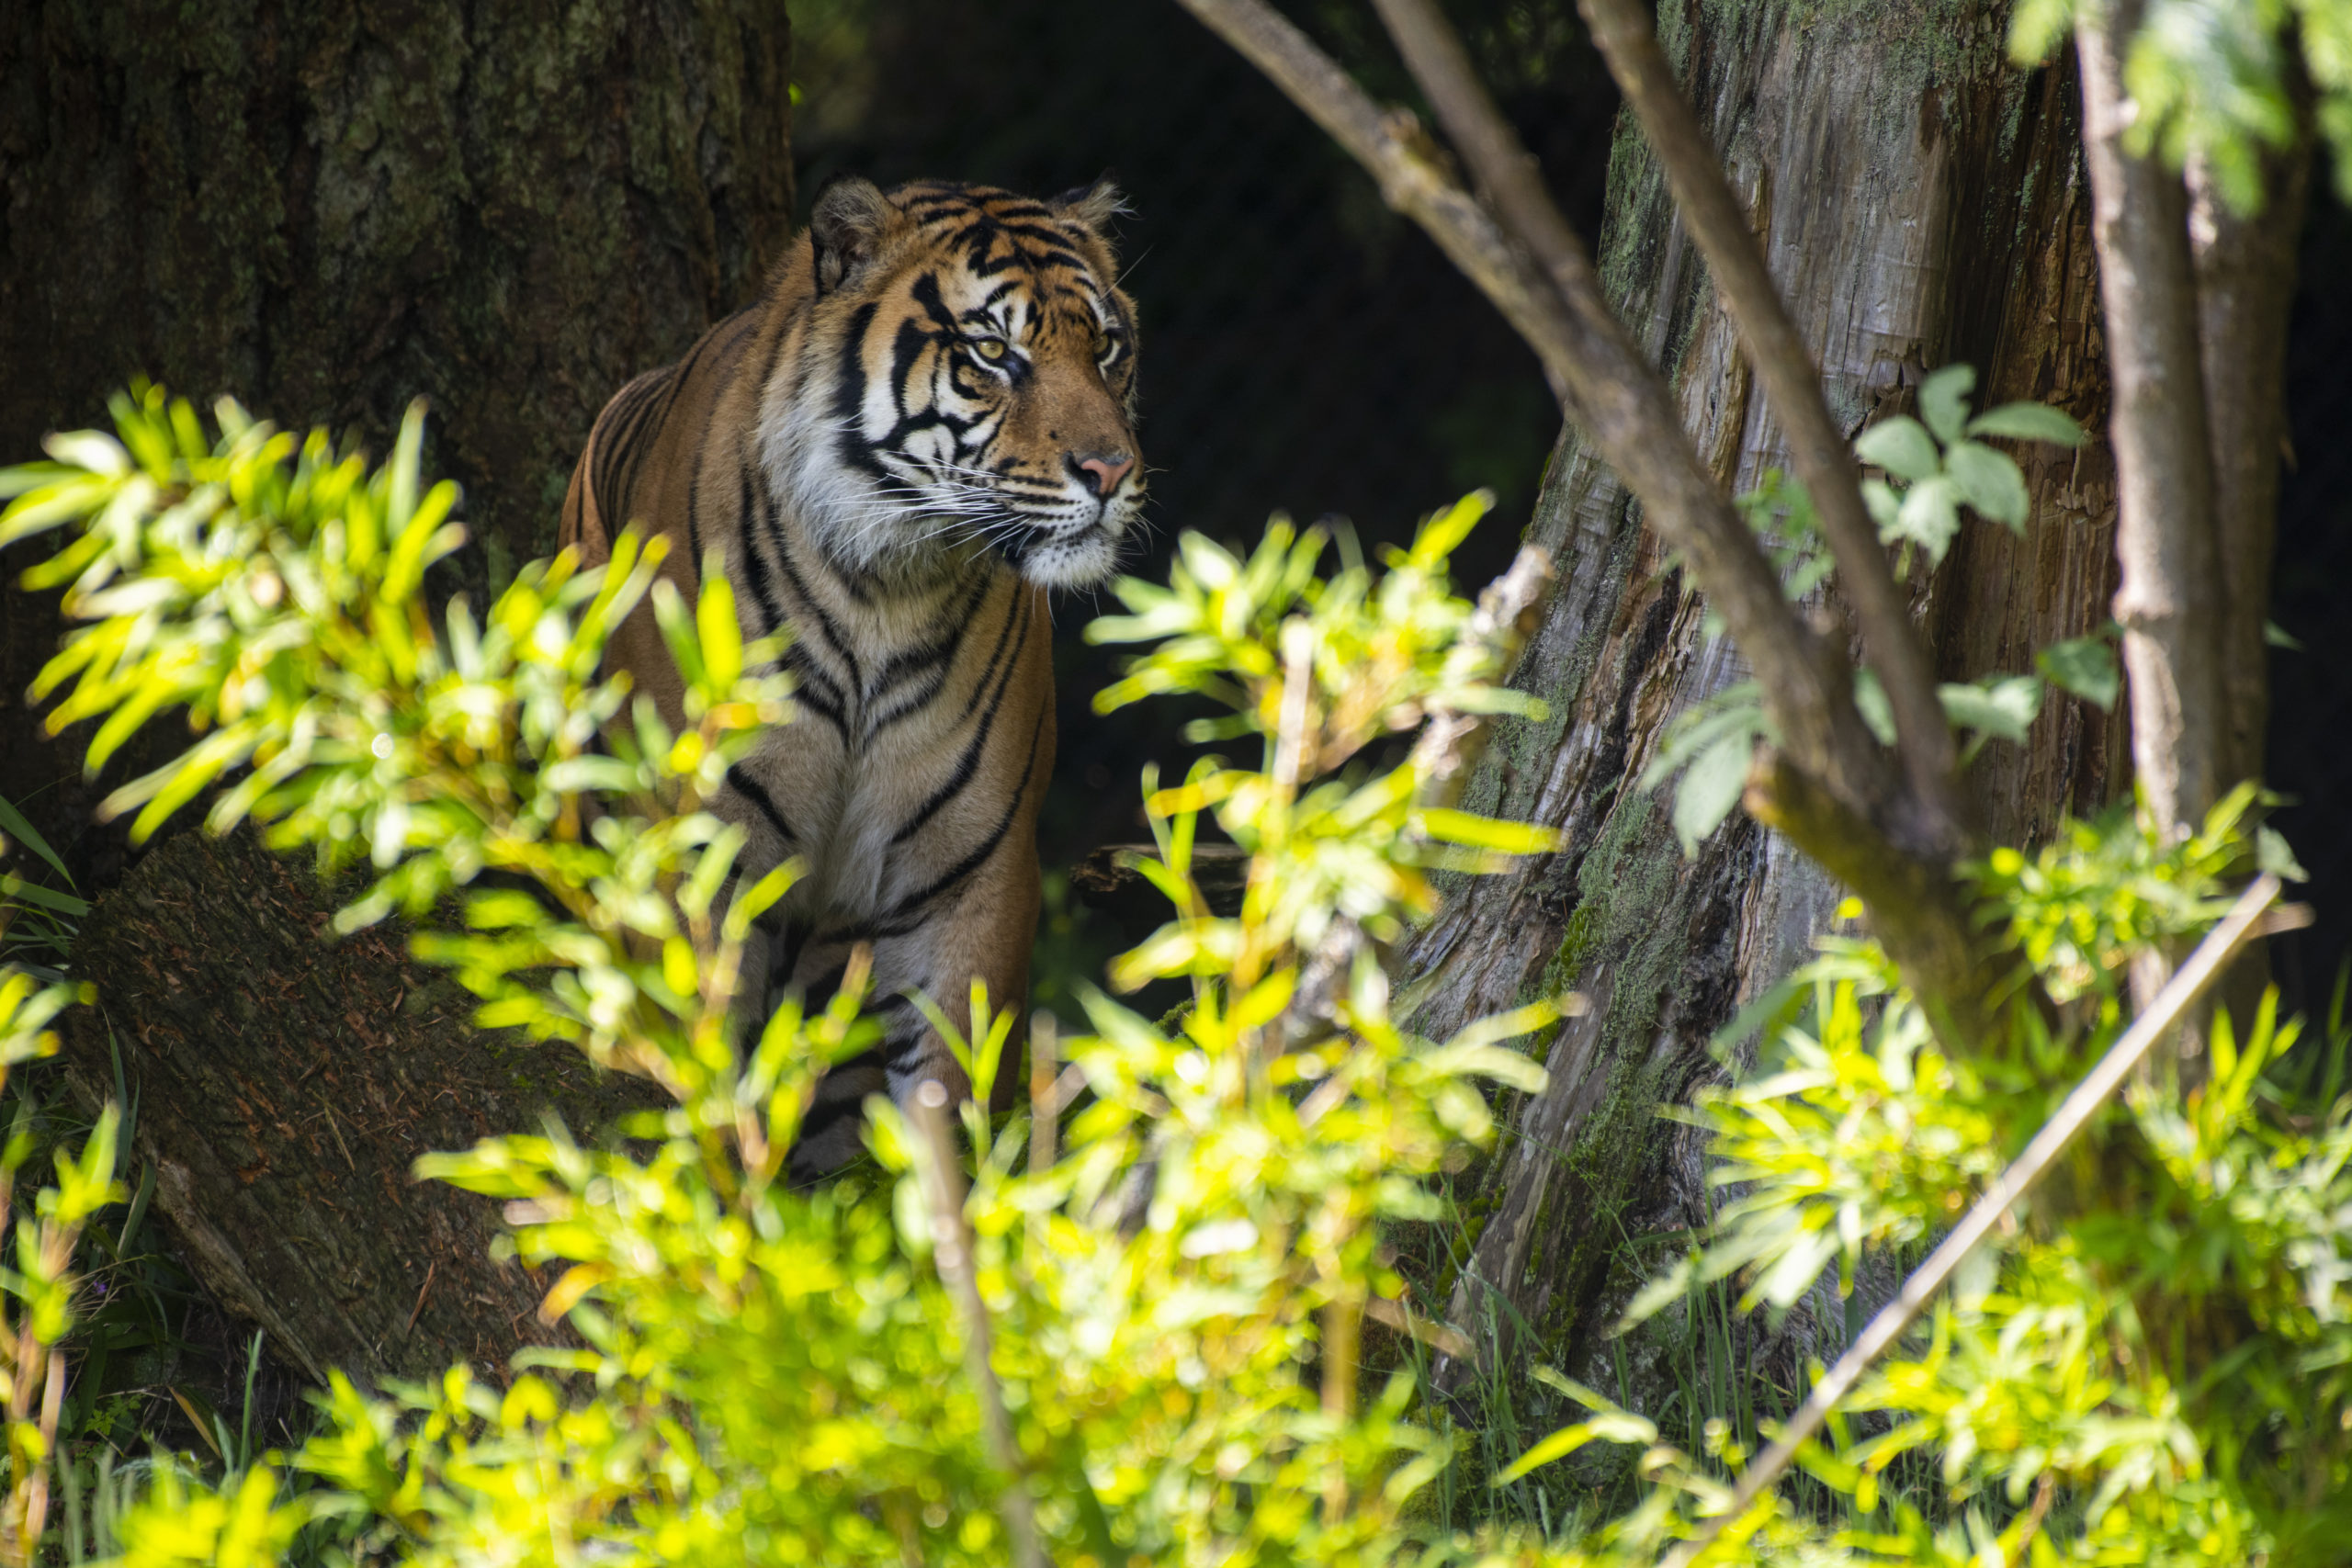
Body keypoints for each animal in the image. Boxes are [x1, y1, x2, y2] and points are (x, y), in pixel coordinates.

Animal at [557, 177, 1144, 1174]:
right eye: (994, 351)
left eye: (1105, 347)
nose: (1111, 471)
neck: (888, 587)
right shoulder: (699, 862)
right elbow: (705, 1075)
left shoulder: (967, 876)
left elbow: (946, 1098)